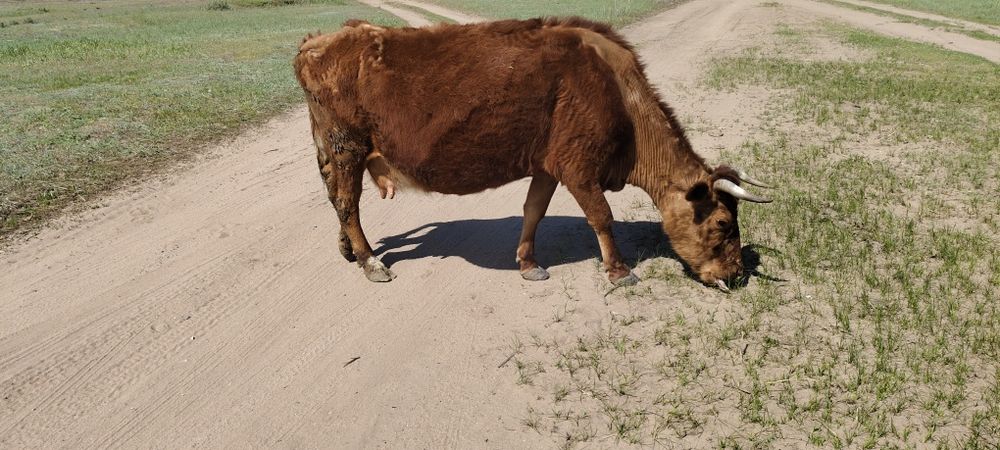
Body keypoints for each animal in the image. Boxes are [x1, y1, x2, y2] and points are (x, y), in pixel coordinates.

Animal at [293, 17, 771, 291]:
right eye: (723, 223)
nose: (736, 275)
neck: (618, 94)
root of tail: (322, 39)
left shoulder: (548, 164)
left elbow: (533, 211)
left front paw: (527, 263)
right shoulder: (578, 166)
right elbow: (601, 216)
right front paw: (619, 272)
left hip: (336, 150)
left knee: (338, 199)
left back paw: (349, 249)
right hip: (347, 145)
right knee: (347, 202)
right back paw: (370, 260)